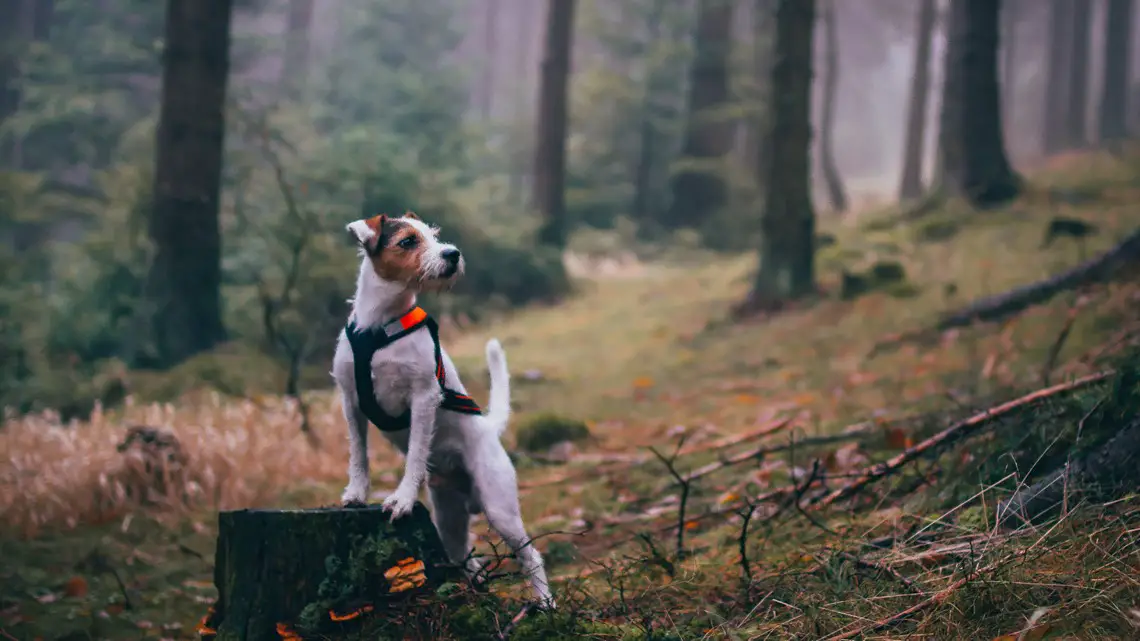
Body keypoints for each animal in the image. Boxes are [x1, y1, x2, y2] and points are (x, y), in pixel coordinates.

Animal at [330, 212, 551, 606]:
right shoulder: (351, 400)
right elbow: (359, 454)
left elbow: (415, 456)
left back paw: (544, 603)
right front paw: (356, 493)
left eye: (434, 236)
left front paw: (402, 499)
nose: (452, 254)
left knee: (531, 556)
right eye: (407, 241)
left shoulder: (422, 398)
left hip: (501, 508)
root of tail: (489, 429)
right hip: (449, 521)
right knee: (465, 558)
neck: (381, 325)